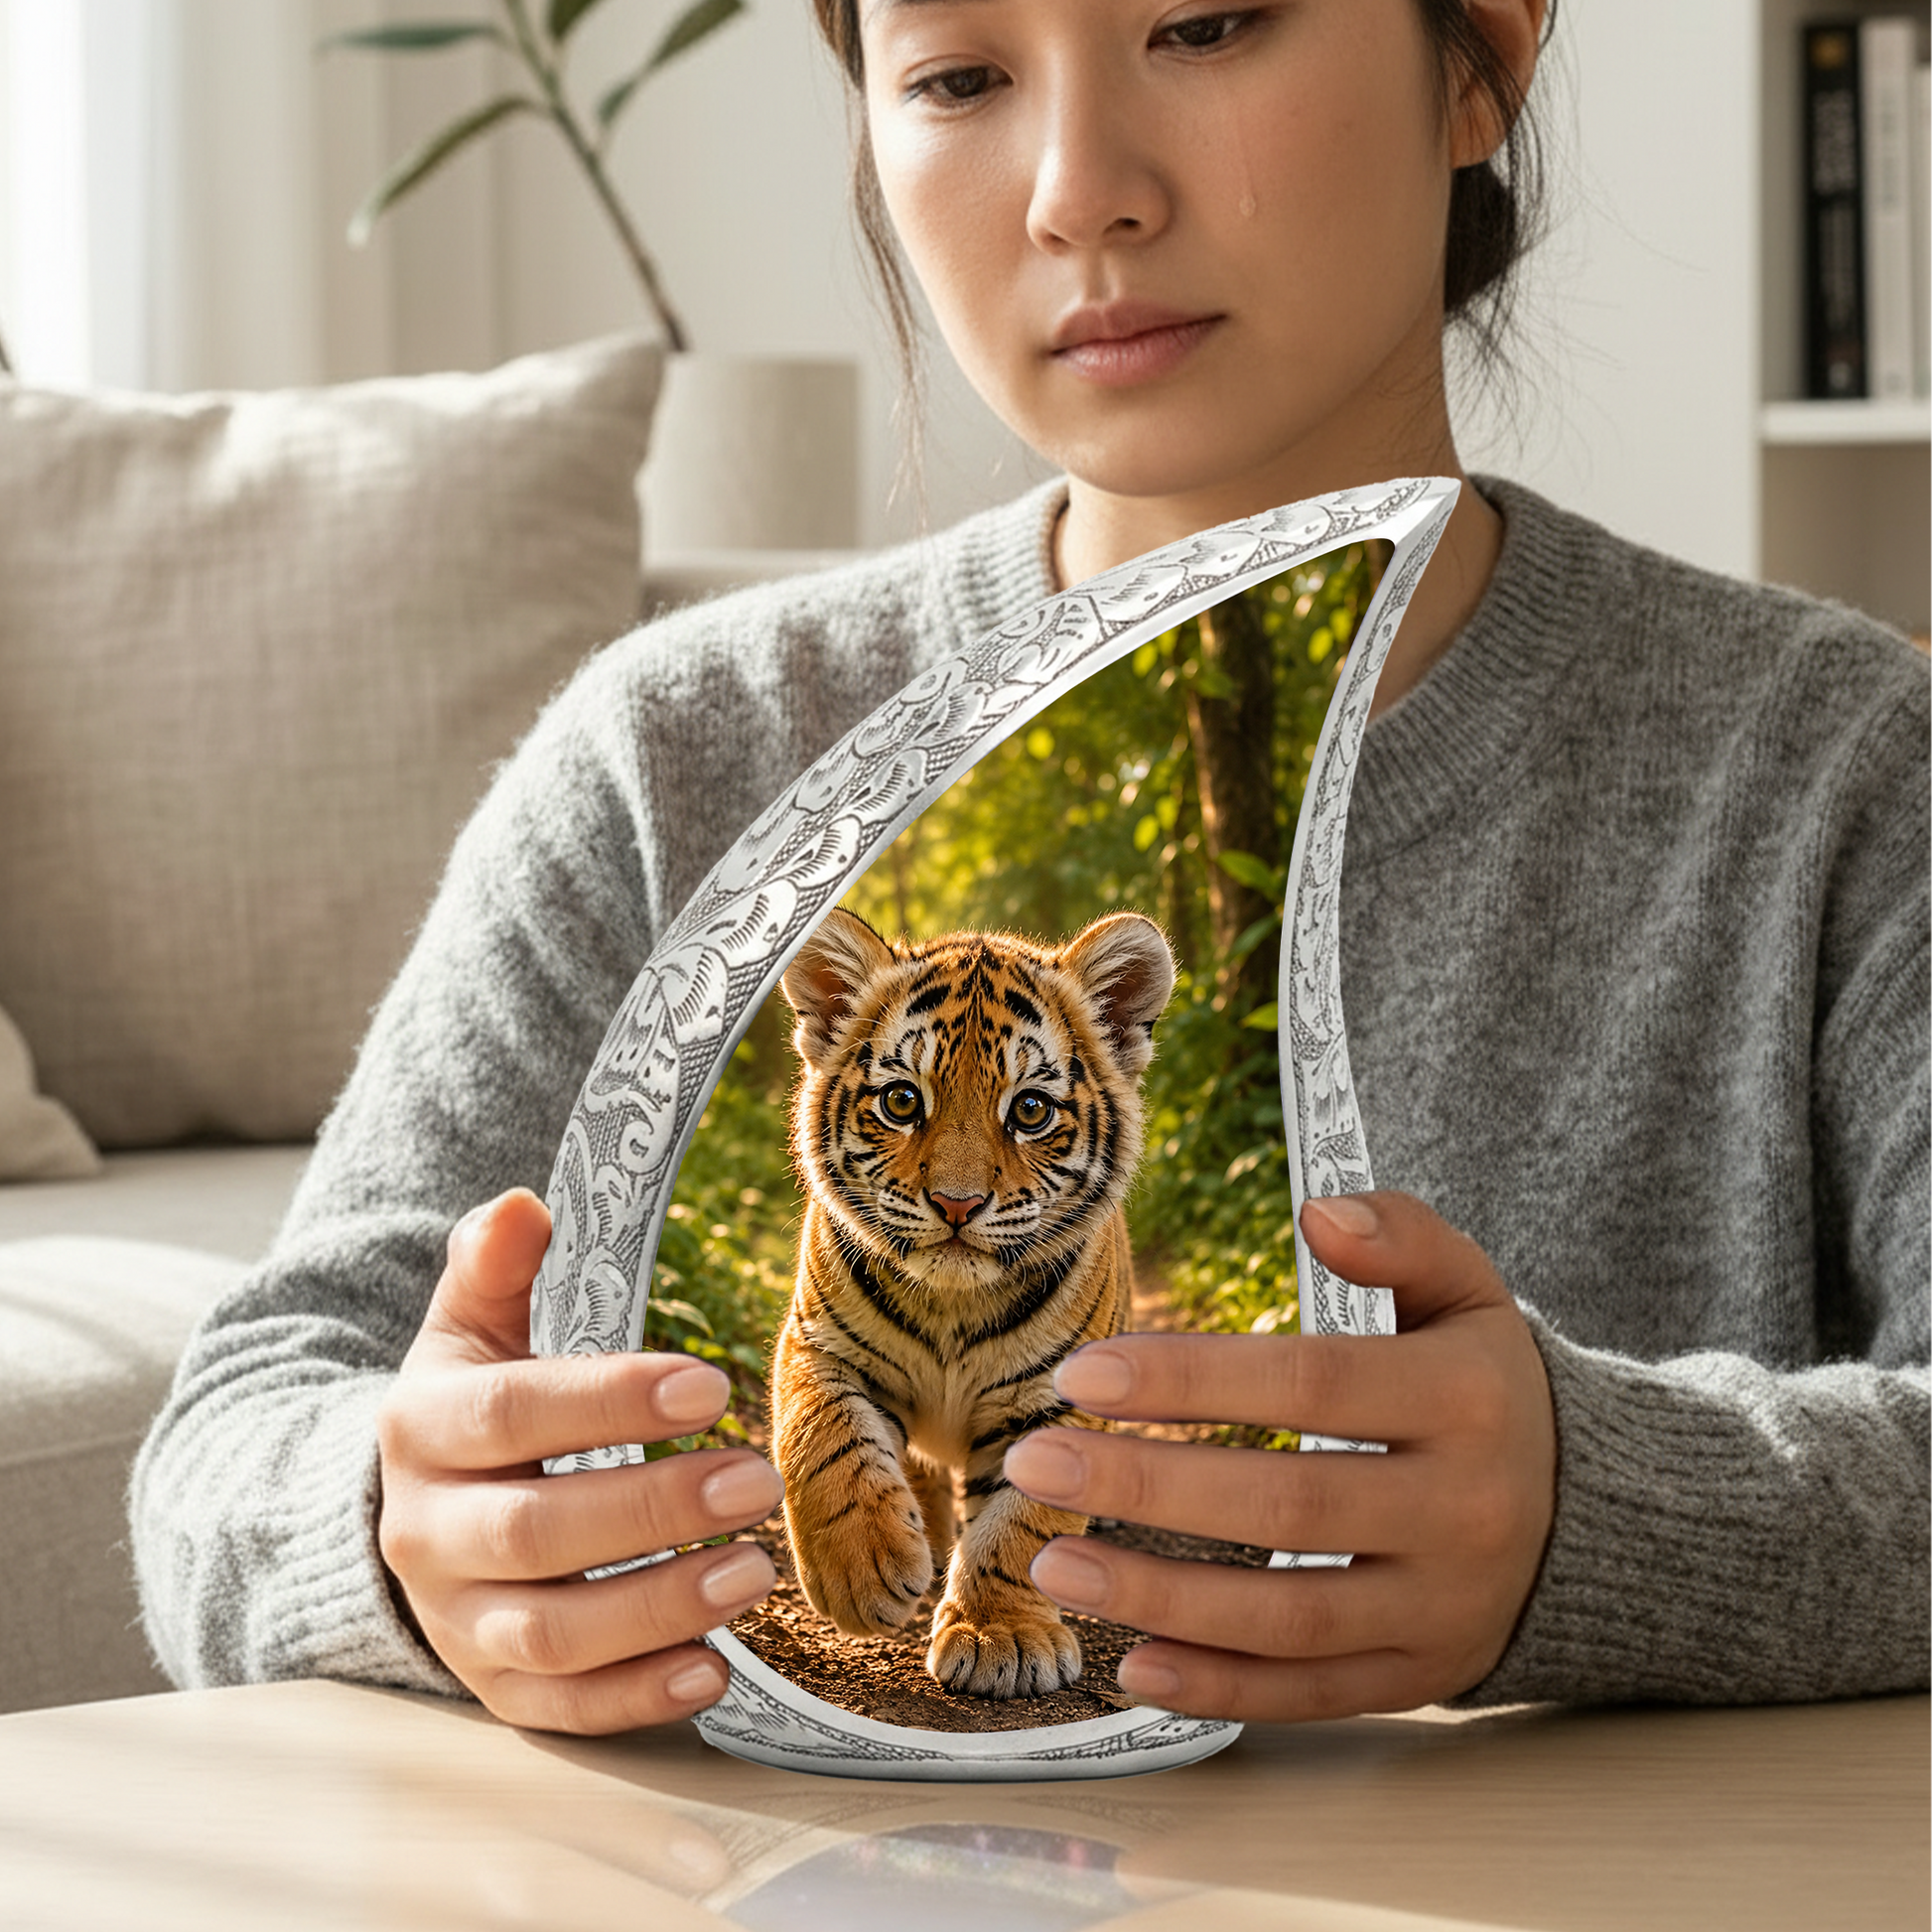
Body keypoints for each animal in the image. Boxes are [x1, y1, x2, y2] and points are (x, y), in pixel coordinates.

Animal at [770, 904, 1176, 1698]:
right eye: (902, 1101)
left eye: (1031, 1110)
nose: (957, 1204)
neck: (952, 1308)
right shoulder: (816, 1344)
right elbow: (821, 1437)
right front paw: (862, 1574)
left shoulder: (1057, 1398)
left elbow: (1025, 1525)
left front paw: (1000, 1637)